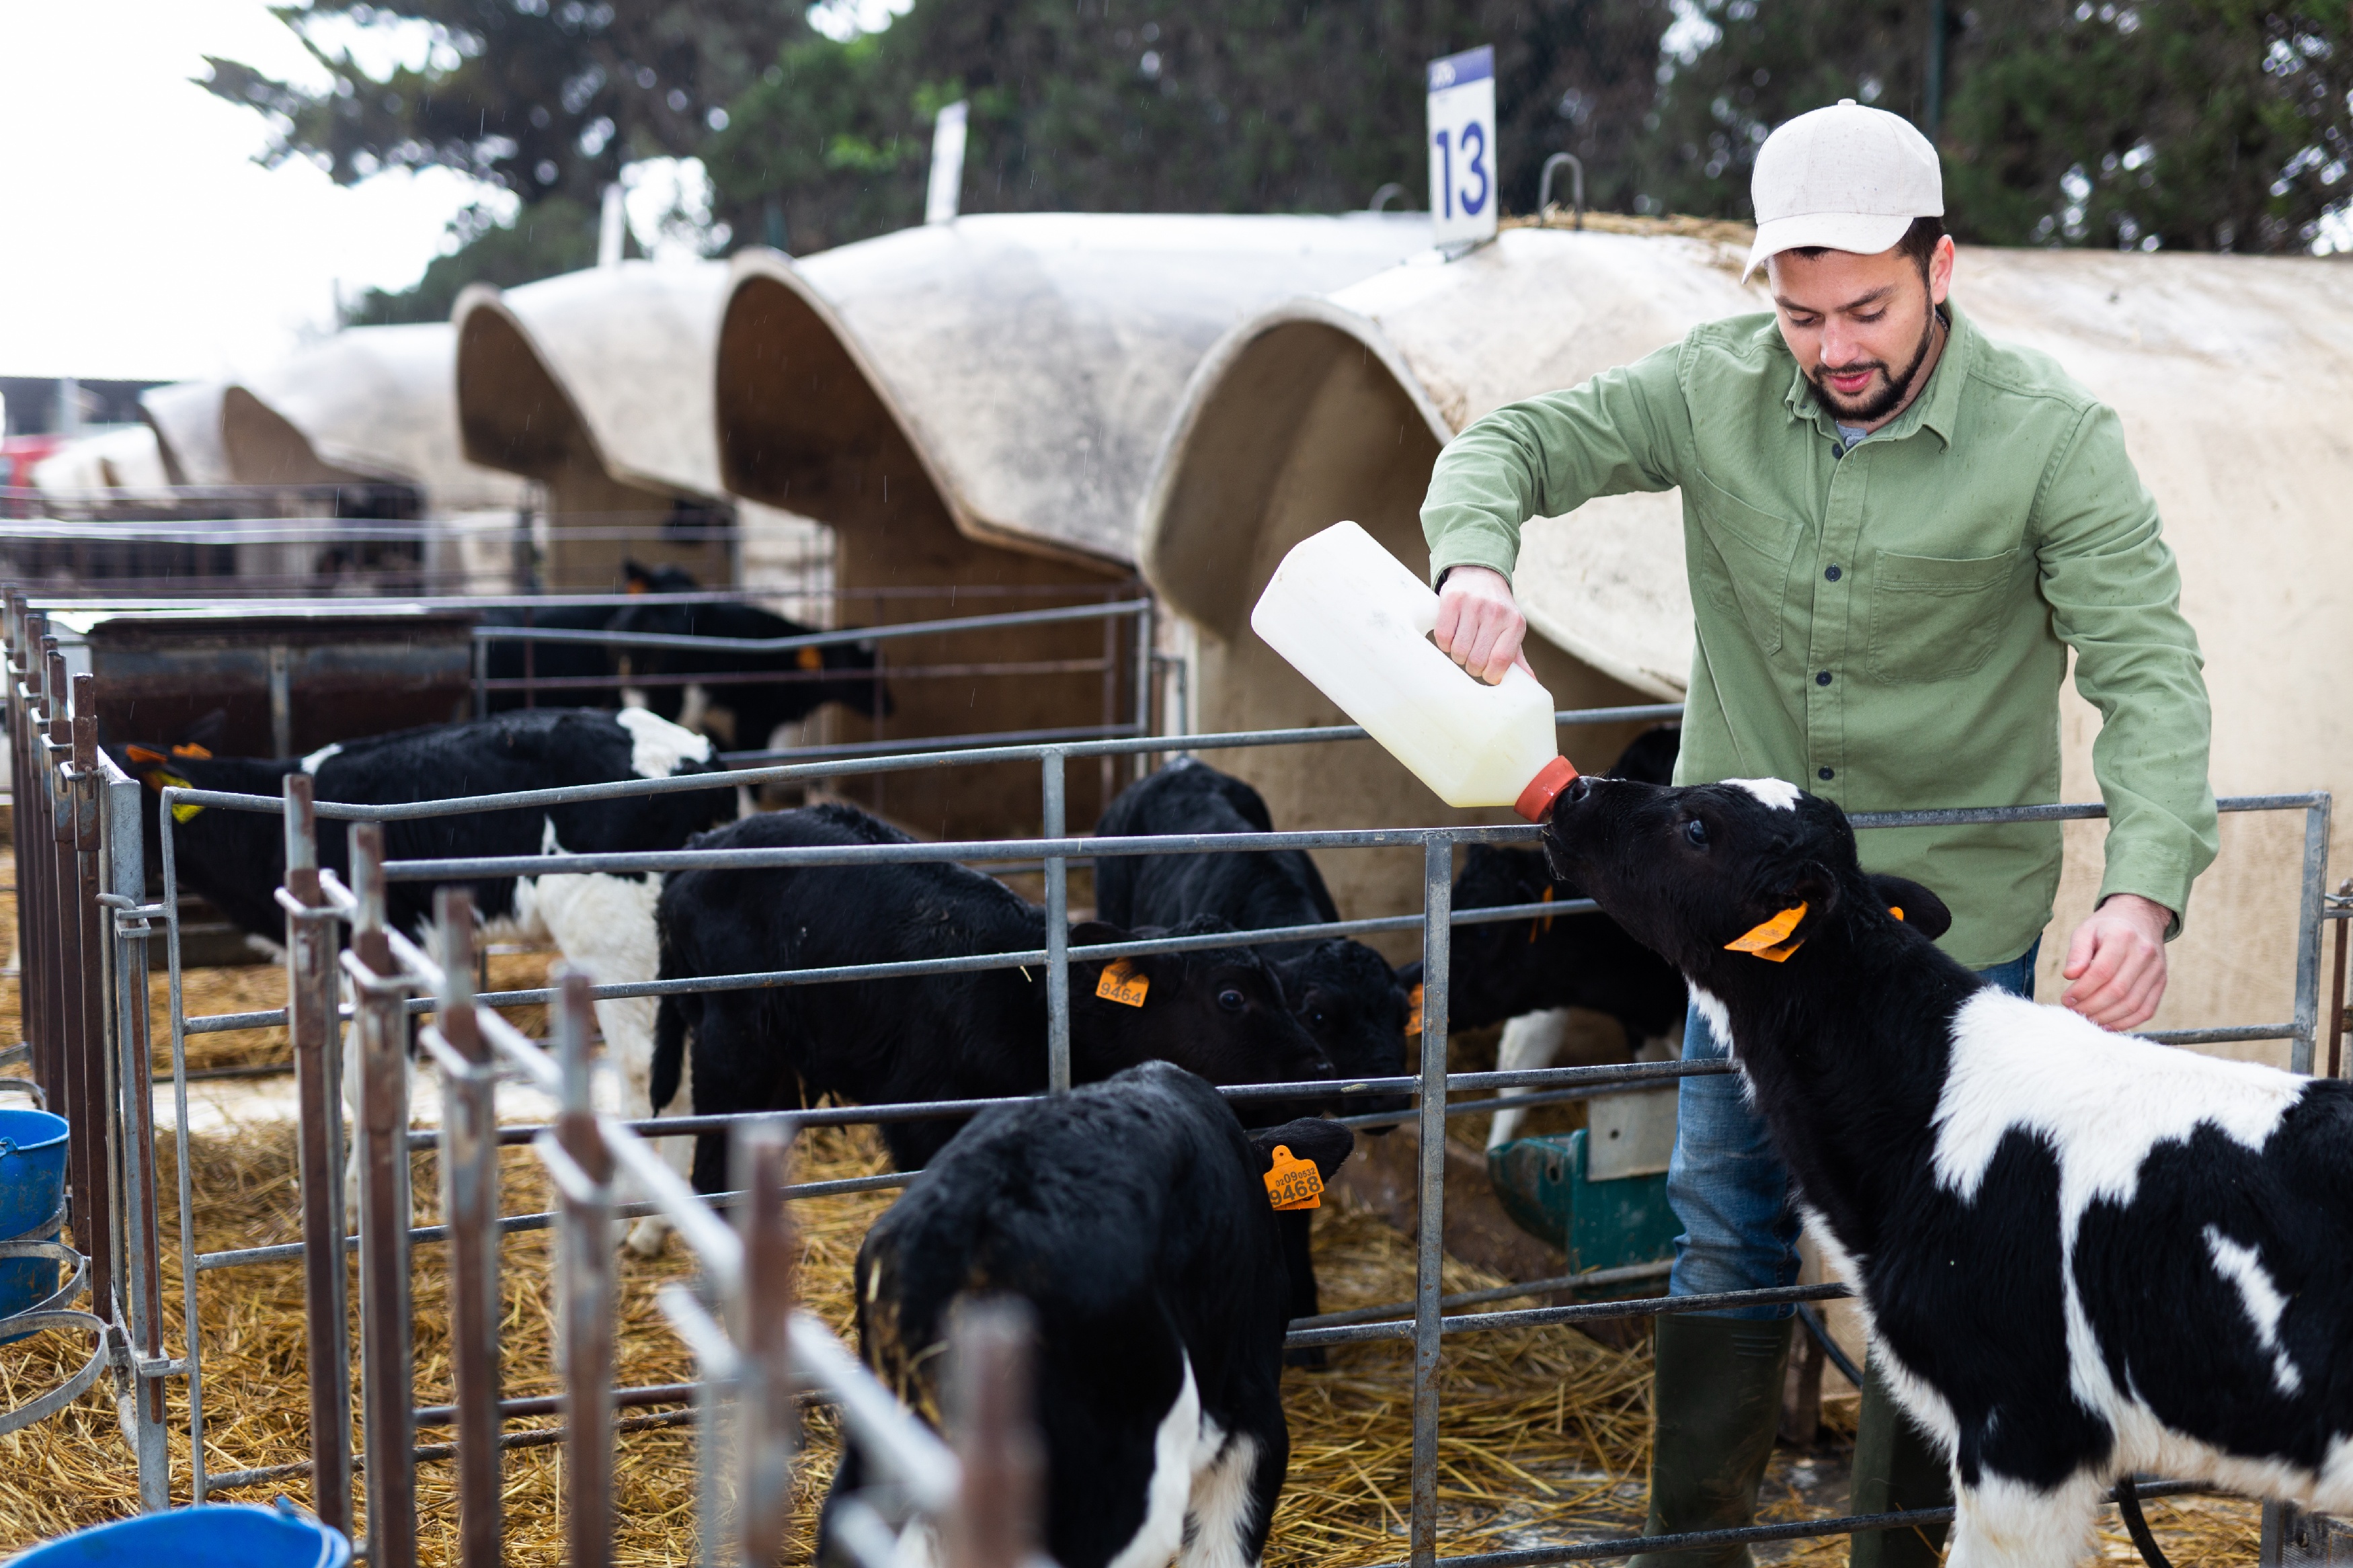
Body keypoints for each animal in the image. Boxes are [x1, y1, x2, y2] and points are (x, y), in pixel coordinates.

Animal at [110, 710, 729, 1241]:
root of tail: (694, 755)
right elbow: (351, 1079)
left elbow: (380, 1082)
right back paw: (657, 1224)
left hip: (613, 935)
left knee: (643, 1070)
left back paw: (633, 1221)